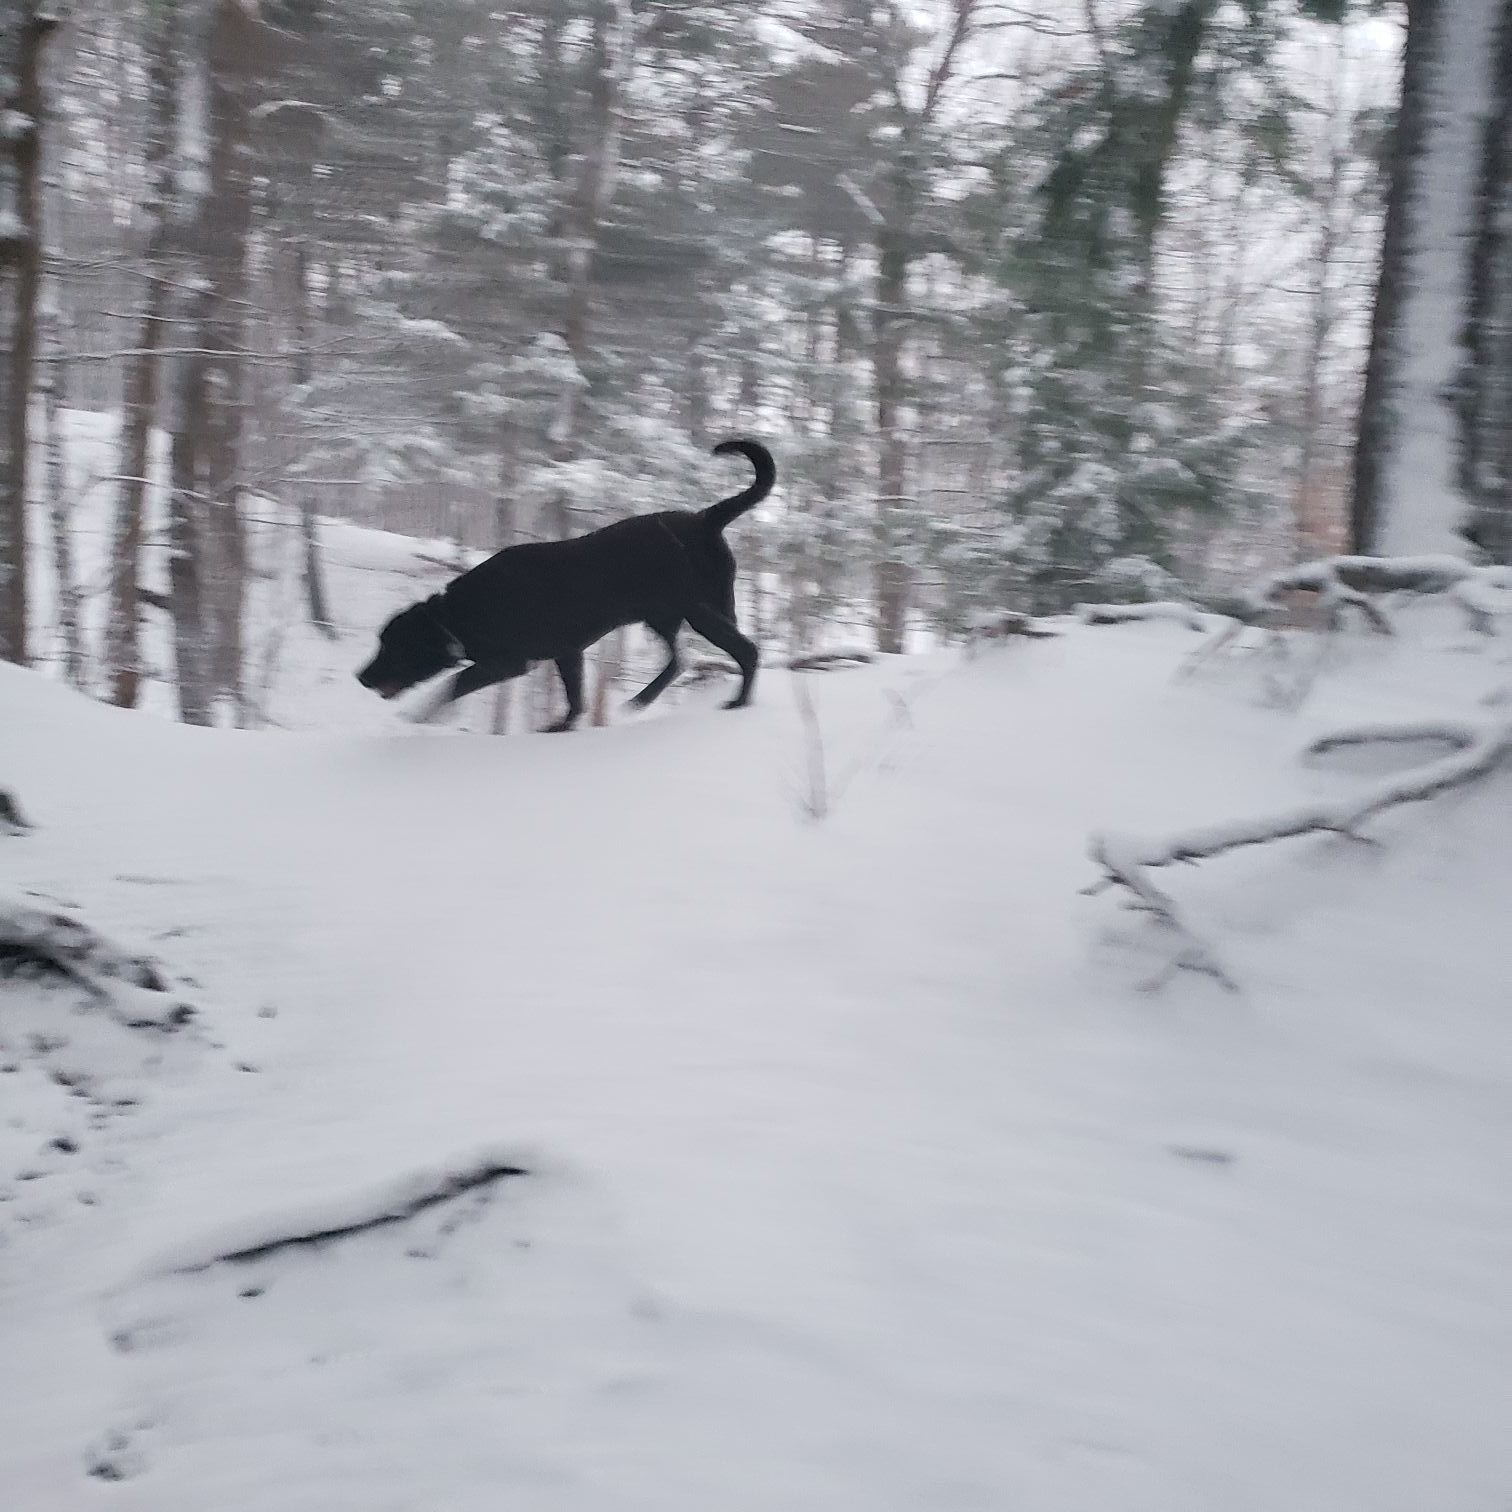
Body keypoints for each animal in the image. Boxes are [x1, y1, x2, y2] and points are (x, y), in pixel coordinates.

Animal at [356, 439, 774, 731]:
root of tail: (706, 519)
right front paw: (562, 727)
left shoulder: (510, 662)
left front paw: (418, 714)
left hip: (698, 610)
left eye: (392, 647)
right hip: (666, 614)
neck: (457, 615)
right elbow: (576, 700)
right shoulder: (567, 653)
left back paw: (738, 703)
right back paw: (640, 701)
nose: (360, 677)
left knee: (745, 652)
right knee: (680, 659)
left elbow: (454, 683)